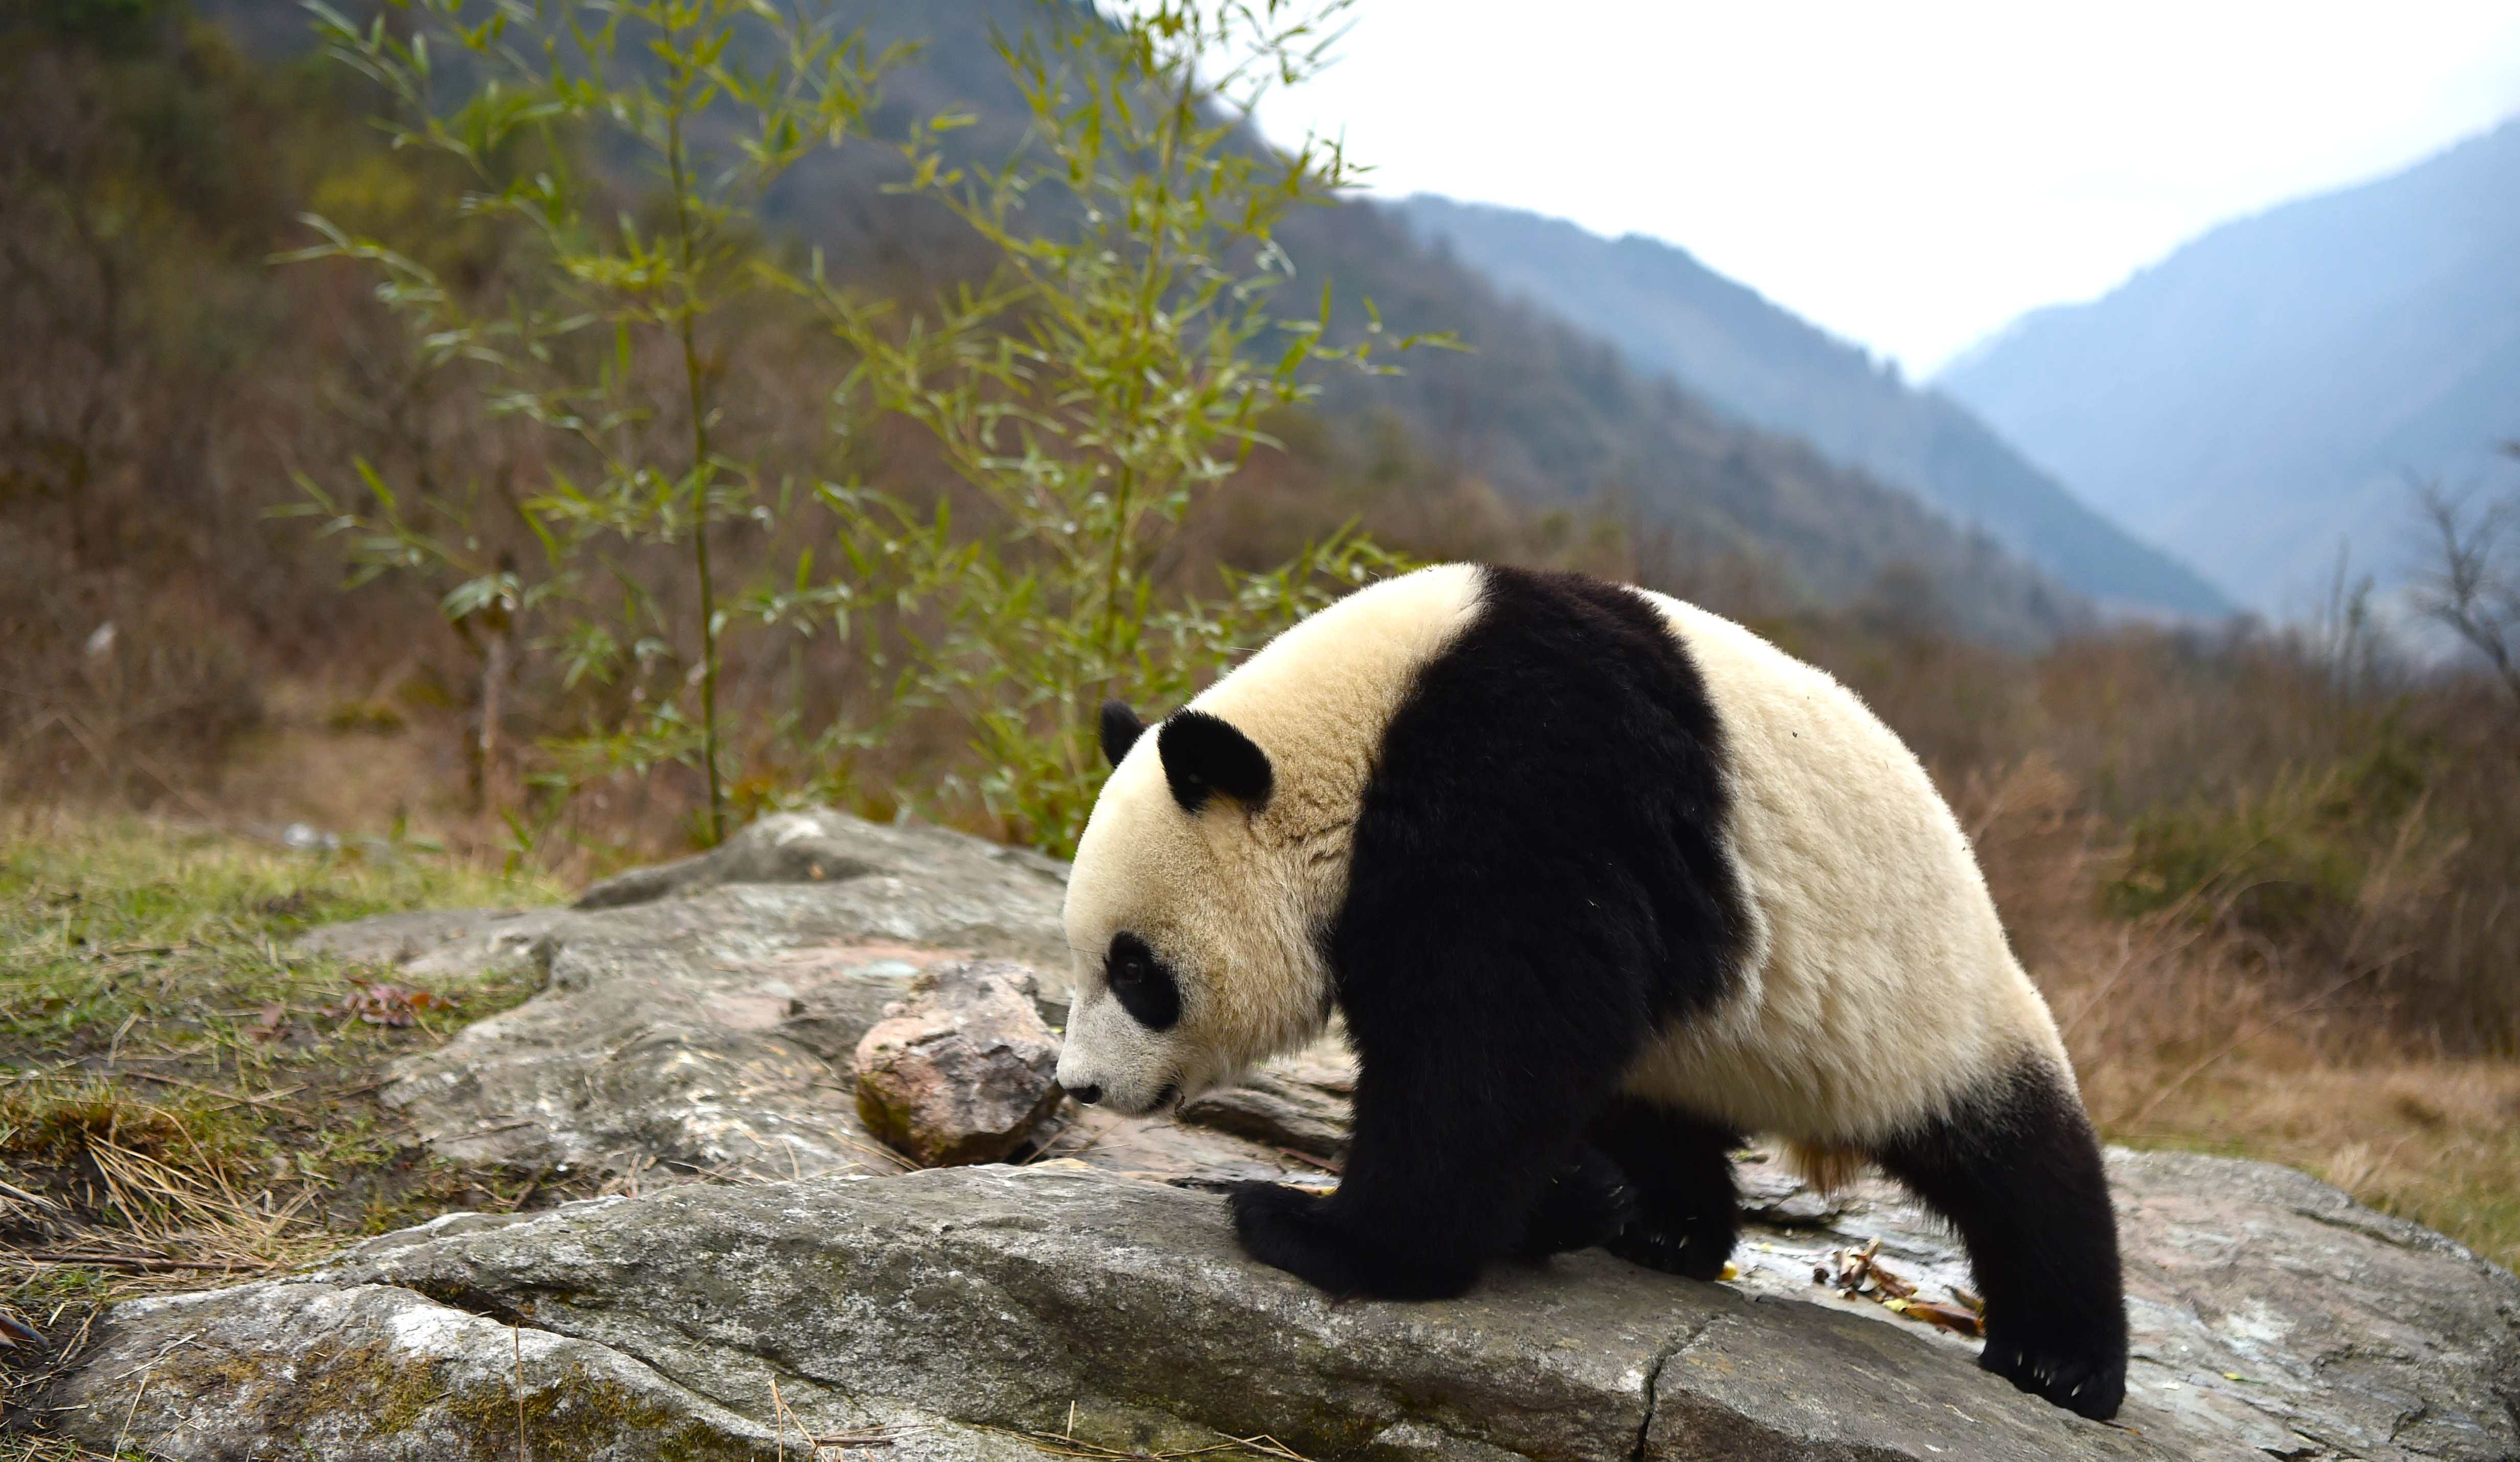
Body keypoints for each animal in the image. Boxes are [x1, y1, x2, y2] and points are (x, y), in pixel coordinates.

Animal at [1055, 563, 2127, 1421]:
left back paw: (2064, 1360)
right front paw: (1571, 1201)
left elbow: (1490, 1046)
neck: (1361, 730)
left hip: (1926, 1006)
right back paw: (1665, 1224)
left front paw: (1322, 1233)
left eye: (1135, 969)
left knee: (2020, 1165)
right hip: (1700, 1045)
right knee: (1651, 1102)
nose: (1080, 1085)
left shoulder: (1530, 779)